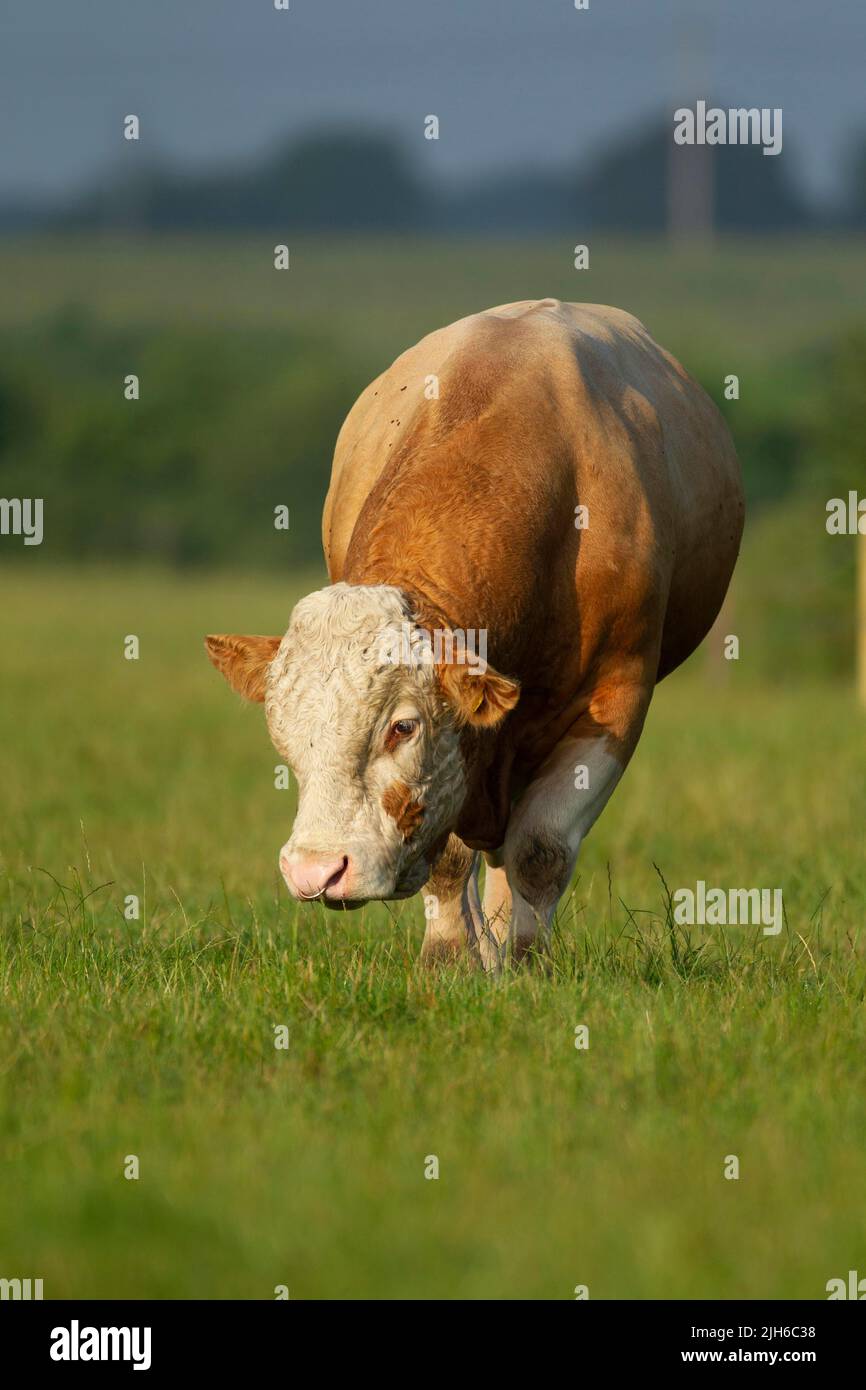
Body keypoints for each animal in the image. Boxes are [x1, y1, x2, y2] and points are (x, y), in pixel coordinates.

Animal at [204, 296, 745, 967]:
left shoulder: (616, 700)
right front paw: (453, 957)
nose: (316, 871)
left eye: (403, 727)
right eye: (284, 733)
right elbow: (450, 857)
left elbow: (540, 850)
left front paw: (527, 962)